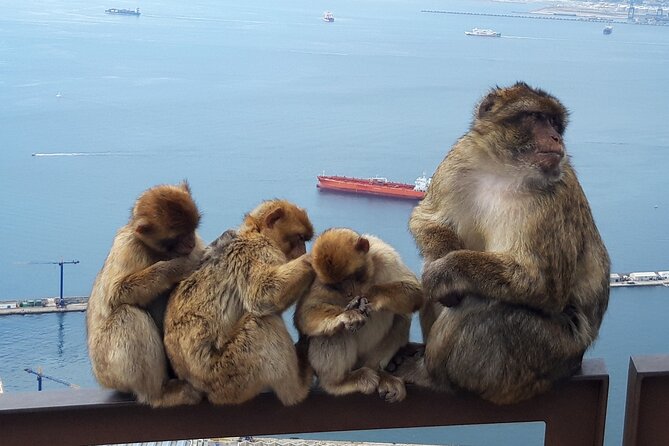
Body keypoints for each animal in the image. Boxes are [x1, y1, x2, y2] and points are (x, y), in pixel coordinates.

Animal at [86, 182, 206, 407]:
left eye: (192, 229)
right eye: (177, 236)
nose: (190, 243)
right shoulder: (127, 246)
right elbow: (115, 295)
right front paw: (178, 267)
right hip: (106, 368)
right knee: (127, 314)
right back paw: (157, 393)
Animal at [163, 199, 316, 406]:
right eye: (299, 238)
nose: (303, 251)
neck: (255, 232)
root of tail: (196, 385)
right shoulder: (258, 250)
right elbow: (263, 295)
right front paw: (311, 259)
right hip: (228, 373)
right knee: (261, 324)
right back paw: (298, 389)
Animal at [294, 228, 423, 403]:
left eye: (349, 277)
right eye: (337, 284)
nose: (349, 292)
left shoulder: (383, 254)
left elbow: (414, 290)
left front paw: (371, 296)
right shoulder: (316, 278)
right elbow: (305, 313)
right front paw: (345, 315)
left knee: (401, 317)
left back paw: (380, 372)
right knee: (334, 332)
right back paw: (338, 382)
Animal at [390, 82, 610, 405]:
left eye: (555, 123)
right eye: (536, 117)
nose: (556, 138)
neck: (505, 171)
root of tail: (576, 361)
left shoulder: (554, 197)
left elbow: (541, 282)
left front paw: (446, 271)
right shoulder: (458, 161)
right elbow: (428, 218)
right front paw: (443, 257)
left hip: (543, 356)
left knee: (484, 305)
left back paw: (433, 376)